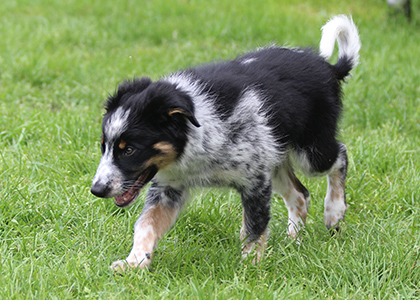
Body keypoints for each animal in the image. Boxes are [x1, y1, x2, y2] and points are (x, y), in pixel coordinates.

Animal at [92, 15, 360, 270]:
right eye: (104, 146)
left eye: (129, 150)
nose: (96, 190)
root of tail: (328, 67)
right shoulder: (169, 188)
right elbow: (146, 224)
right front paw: (134, 262)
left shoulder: (255, 181)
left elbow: (254, 227)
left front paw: (250, 267)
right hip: (275, 157)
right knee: (299, 194)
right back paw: (293, 240)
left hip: (311, 151)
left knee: (340, 155)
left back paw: (334, 212)